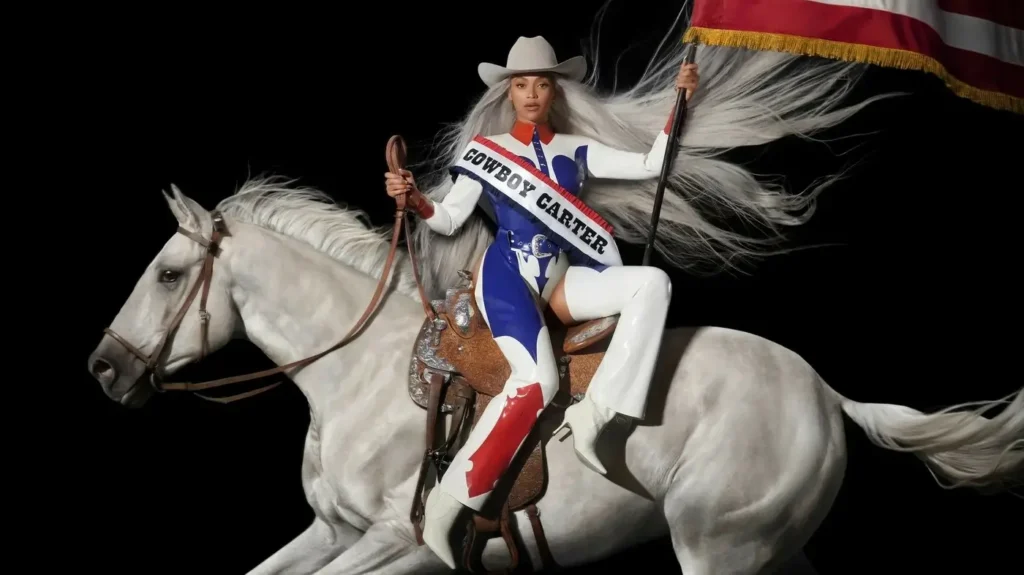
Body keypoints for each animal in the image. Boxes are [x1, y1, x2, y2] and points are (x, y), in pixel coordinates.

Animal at [88, 180, 1024, 572]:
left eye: (169, 274)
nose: (103, 367)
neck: (359, 379)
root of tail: (826, 393)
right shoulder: (333, 530)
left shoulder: (400, 544)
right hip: (770, 547)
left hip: (720, 549)